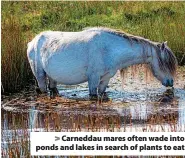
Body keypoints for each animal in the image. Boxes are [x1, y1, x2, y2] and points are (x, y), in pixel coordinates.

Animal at [26, 27, 177, 98]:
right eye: (165, 63)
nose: (171, 82)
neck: (109, 49)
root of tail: (32, 42)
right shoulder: (93, 78)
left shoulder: (105, 79)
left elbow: (102, 93)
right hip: (40, 75)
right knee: (43, 89)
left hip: (52, 77)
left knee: (53, 89)